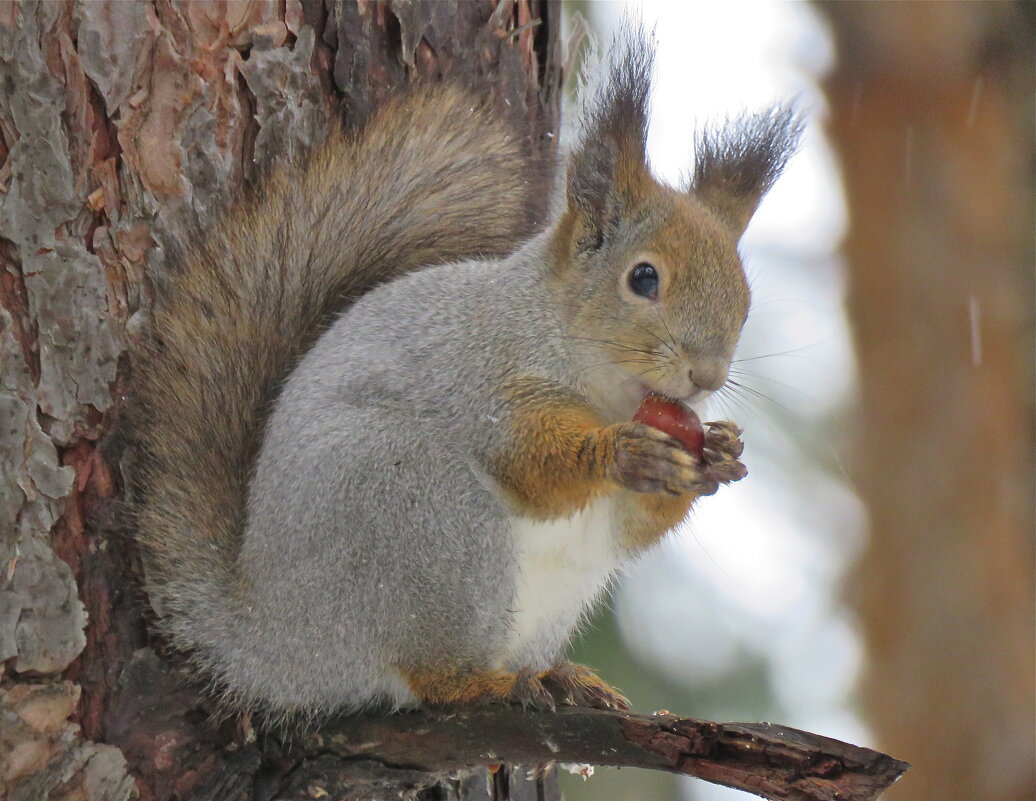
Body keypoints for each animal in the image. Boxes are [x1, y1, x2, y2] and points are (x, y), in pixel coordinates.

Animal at [131, 24, 799, 717]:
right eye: (644, 278)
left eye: (745, 297)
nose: (707, 376)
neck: (604, 386)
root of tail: (273, 645)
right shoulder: (484, 379)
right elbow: (532, 461)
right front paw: (621, 452)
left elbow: (635, 525)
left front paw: (720, 454)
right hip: (424, 517)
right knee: (431, 677)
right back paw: (486, 683)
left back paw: (560, 676)